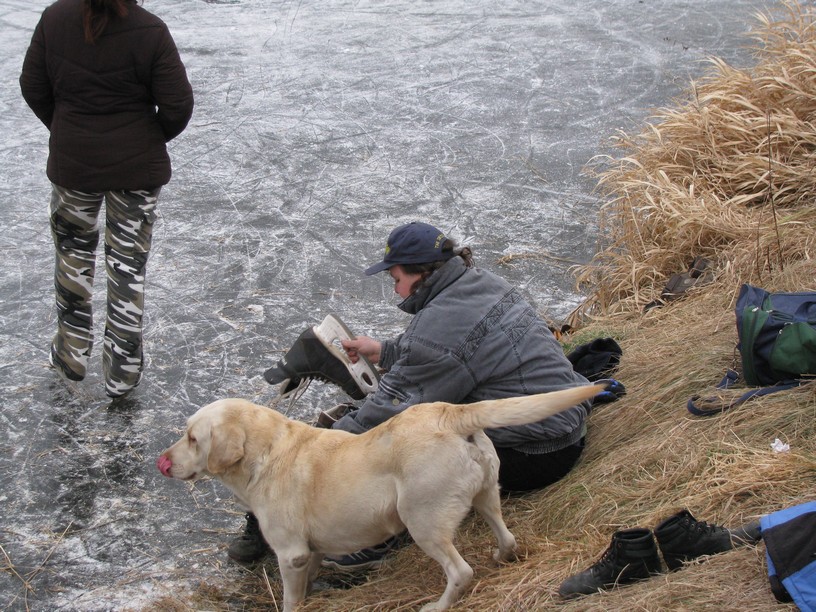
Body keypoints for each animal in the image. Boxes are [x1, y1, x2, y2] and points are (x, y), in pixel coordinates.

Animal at [158, 384, 604, 608]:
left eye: (193, 438)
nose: (163, 462)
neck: (266, 453)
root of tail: (450, 413)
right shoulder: (311, 551)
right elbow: (309, 581)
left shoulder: (291, 553)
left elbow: (290, 599)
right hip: (487, 495)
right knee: (506, 538)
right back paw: (501, 557)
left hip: (422, 521)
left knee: (461, 572)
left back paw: (437, 606)